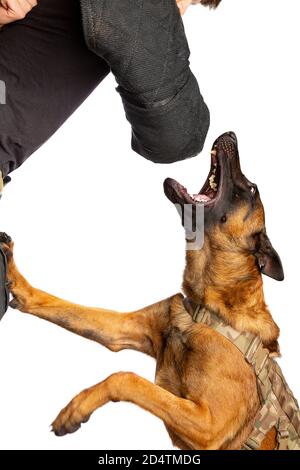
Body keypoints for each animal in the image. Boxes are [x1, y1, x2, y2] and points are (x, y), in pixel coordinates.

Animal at [1, 131, 298, 448]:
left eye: (252, 189)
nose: (230, 134)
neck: (206, 305)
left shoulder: (208, 424)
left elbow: (126, 378)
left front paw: (77, 408)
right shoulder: (121, 328)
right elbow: (55, 303)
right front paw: (14, 276)